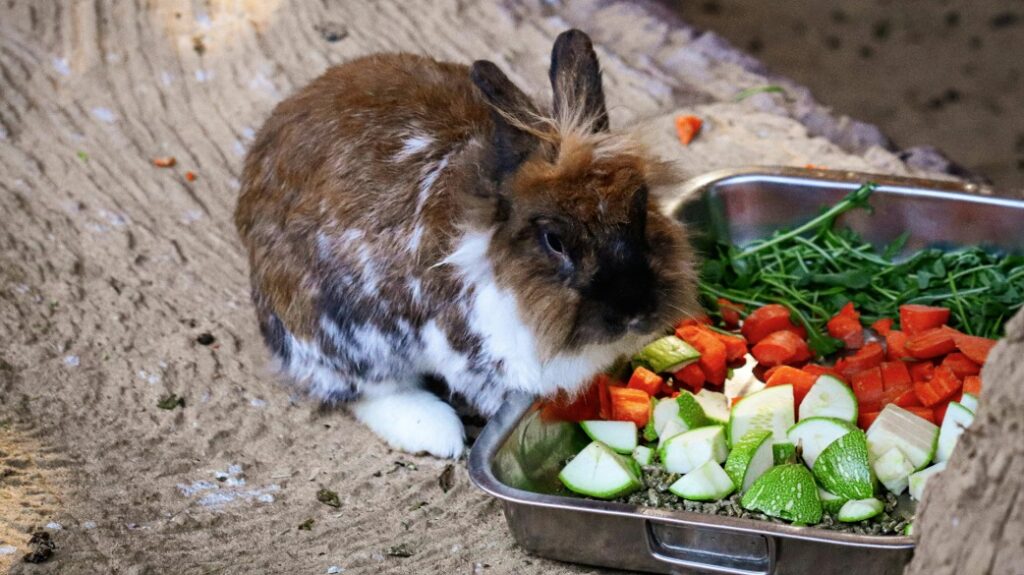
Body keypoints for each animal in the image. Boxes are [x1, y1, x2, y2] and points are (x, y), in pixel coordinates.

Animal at [234, 29, 696, 456]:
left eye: (641, 207)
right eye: (555, 240)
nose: (634, 311)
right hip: (340, 333)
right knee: (362, 389)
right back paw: (439, 434)